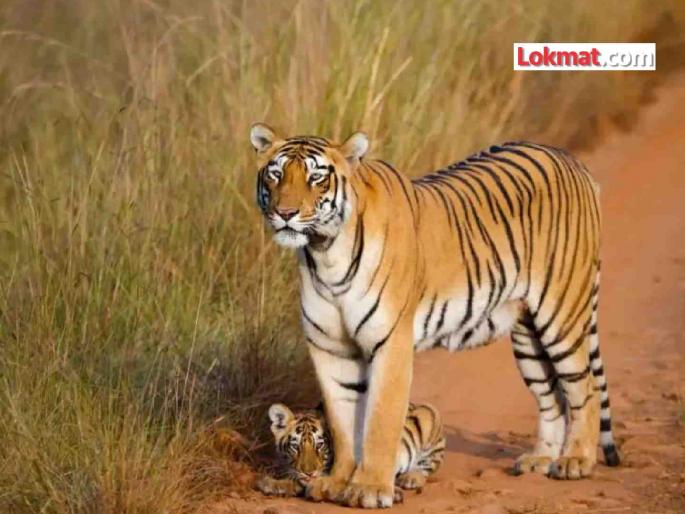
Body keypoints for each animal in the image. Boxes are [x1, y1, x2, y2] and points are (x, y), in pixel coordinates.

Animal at [256, 402, 445, 499]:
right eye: (295, 446)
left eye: (320, 445)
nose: (309, 473)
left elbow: (298, 482)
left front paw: (270, 483)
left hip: (430, 416)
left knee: (429, 464)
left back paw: (410, 478)